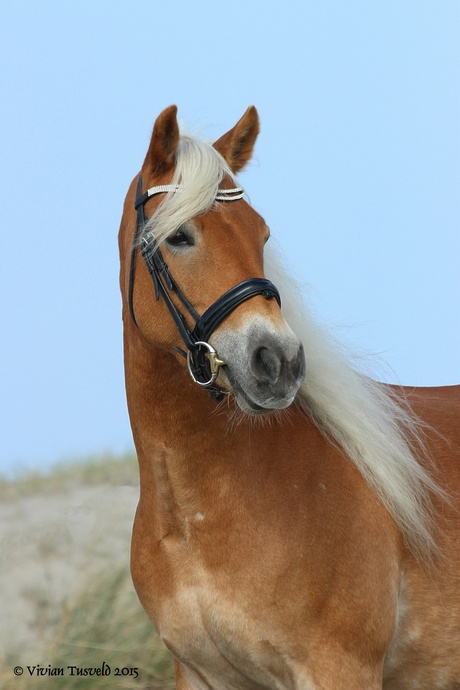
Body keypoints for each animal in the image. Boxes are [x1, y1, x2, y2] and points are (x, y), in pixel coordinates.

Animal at [118, 103, 460, 688]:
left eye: (261, 233)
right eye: (180, 236)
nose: (279, 362)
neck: (192, 515)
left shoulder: (337, 667)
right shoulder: (201, 674)